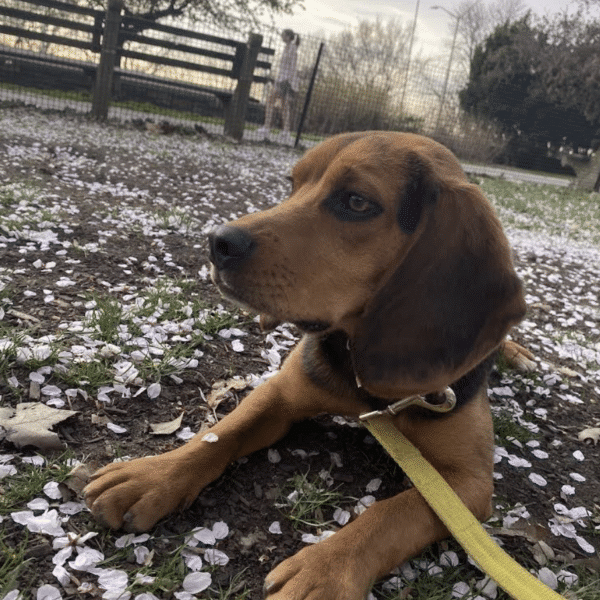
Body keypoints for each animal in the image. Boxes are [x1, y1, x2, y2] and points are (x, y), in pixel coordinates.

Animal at [85, 132, 528, 600]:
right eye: (293, 183)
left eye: (356, 202)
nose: (217, 242)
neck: (357, 363)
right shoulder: (280, 392)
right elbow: (220, 433)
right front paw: (152, 475)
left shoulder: (467, 485)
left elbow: (395, 512)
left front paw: (325, 570)